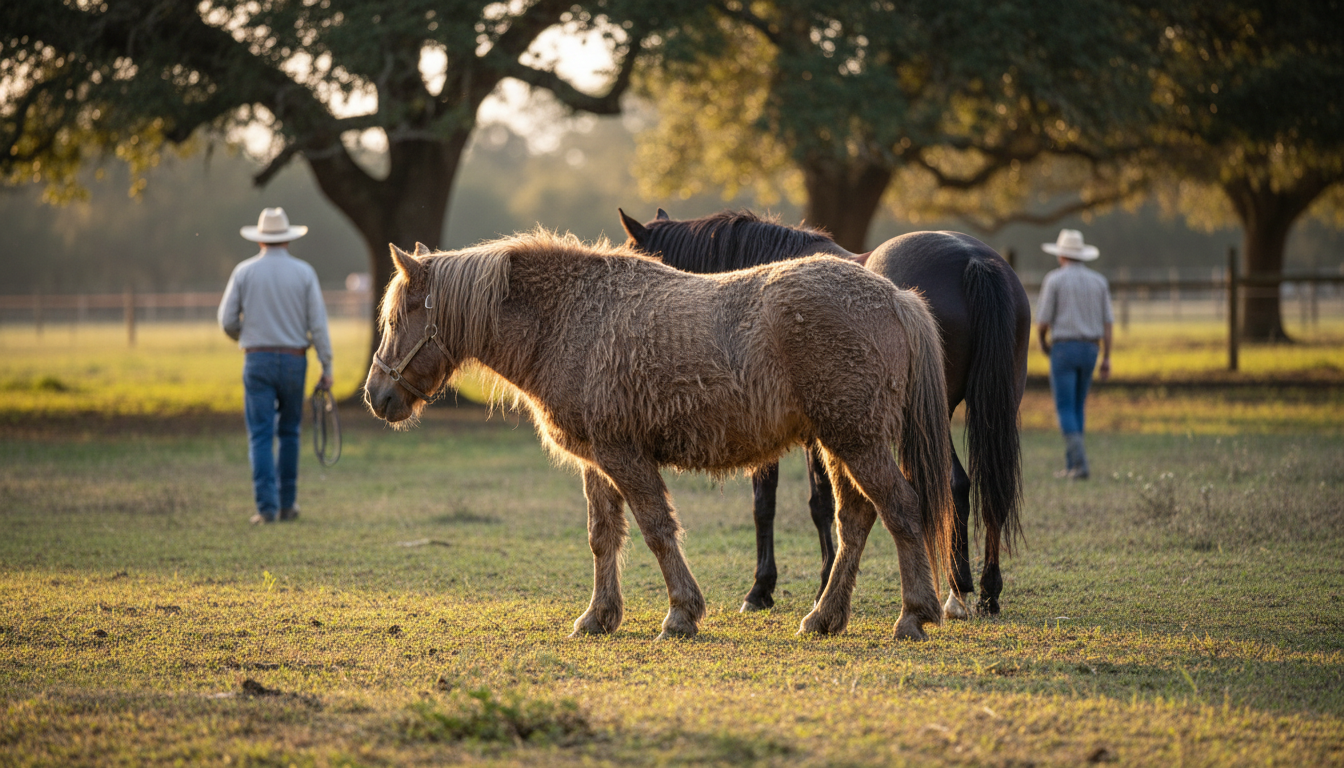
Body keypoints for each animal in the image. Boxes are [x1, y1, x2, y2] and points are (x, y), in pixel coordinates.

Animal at [364, 230, 955, 640]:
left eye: (397, 318)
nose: (377, 396)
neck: (570, 322)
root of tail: (895, 296)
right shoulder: (596, 461)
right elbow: (603, 536)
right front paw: (598, 617)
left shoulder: (624, 456)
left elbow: (655, 530)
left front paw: (680, 615)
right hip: (840, 444)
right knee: (855, 521)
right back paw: (824, 617)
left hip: (858, 442)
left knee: (902, 509)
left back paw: (913, 616)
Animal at [619, 208, 1030, 619]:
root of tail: (973, 259)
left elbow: (785, 503)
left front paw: (769, 589)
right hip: (992, 409)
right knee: (989, 490)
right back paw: (984, 591)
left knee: (954, 483)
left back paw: (958, 591)